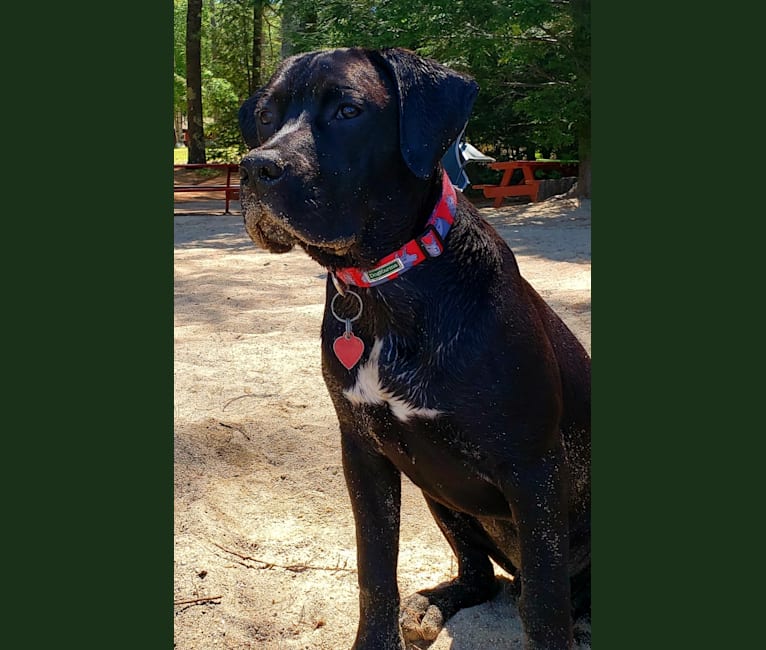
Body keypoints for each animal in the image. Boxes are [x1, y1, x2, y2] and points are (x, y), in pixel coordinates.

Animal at [240, 46, 592, 648]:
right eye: (265, 116)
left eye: (349, 111)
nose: (256, 167)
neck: (384, 286)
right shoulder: (364, 452)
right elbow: (375, 569)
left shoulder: (535, 469)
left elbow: (547, 606)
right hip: (443, 495)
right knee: (482, 576)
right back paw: (433, 604)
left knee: (543, 591)